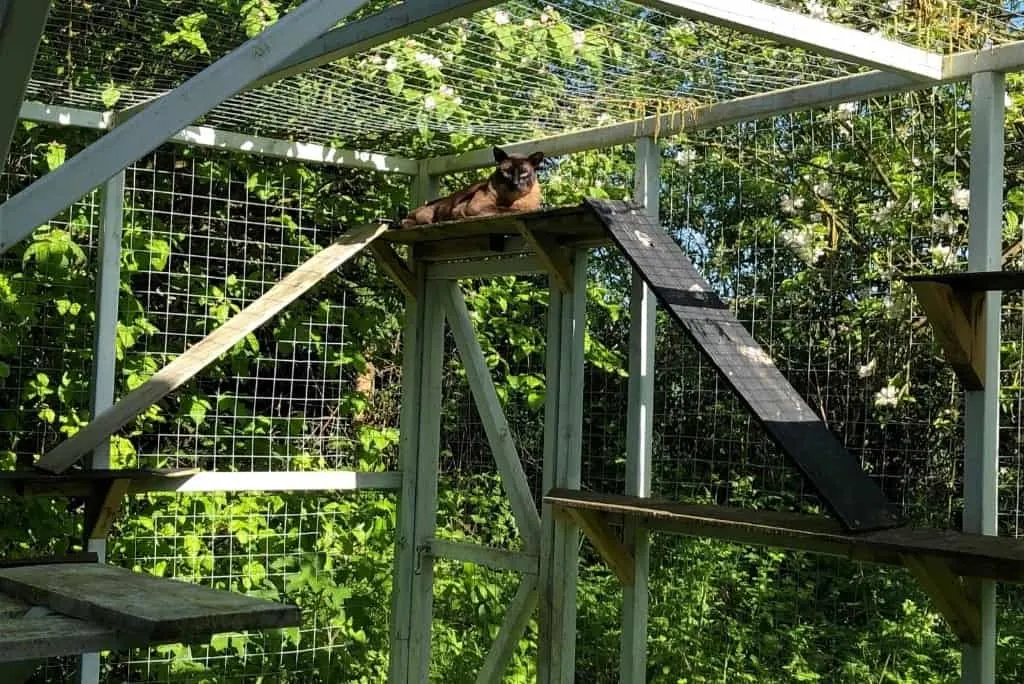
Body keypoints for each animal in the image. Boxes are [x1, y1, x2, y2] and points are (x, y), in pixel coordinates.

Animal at [397, 145, 544, 228]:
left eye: (524, 173)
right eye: (507, 173)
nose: (515, 183)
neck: (510, 200)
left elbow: (515, 209)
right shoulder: (476, 207)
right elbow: (508, 210)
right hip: (428, 214)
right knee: (407, 220)